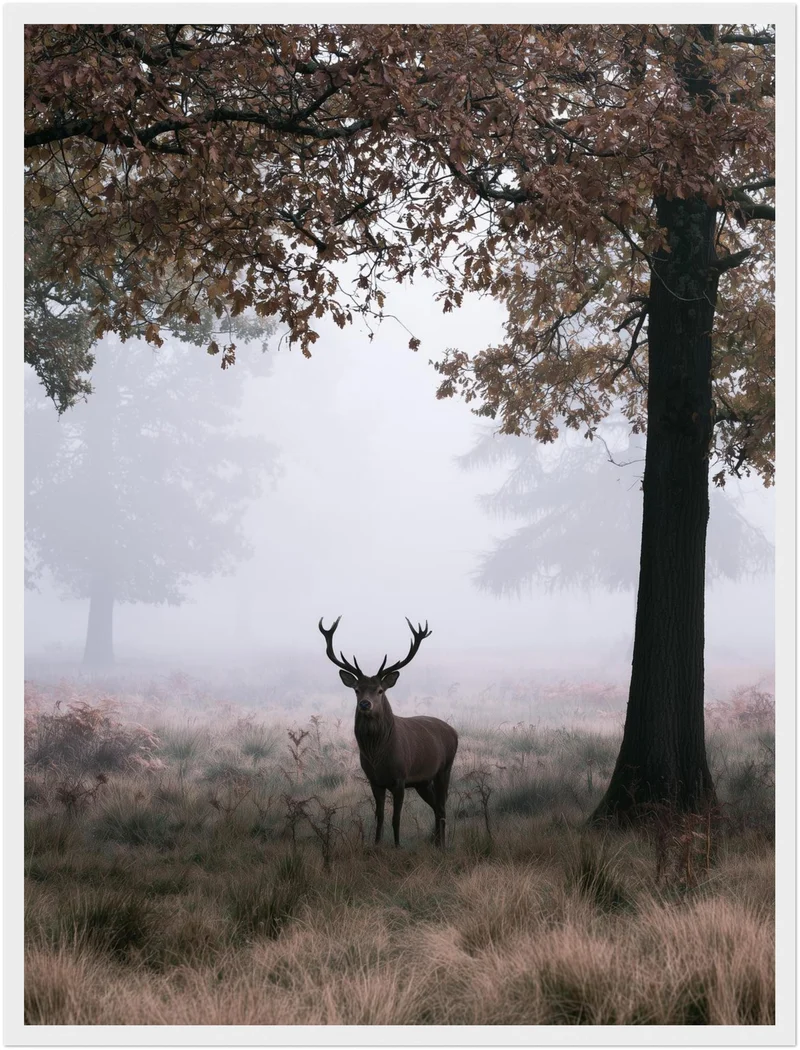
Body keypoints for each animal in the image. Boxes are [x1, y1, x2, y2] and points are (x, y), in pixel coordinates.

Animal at [319, 616, 458, 848]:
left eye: (380, 690)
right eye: (357, 690)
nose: (365, 704)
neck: (378, 755)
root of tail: (454, 732)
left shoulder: (400, 778)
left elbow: (396, 816)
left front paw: (397, 845)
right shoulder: (375, 780)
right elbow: (380, 815)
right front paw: (376, 844)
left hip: (445, 768)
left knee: (442, 806)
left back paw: (443, 845)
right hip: (422, 781)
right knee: (437, 807)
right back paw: (437, 843)